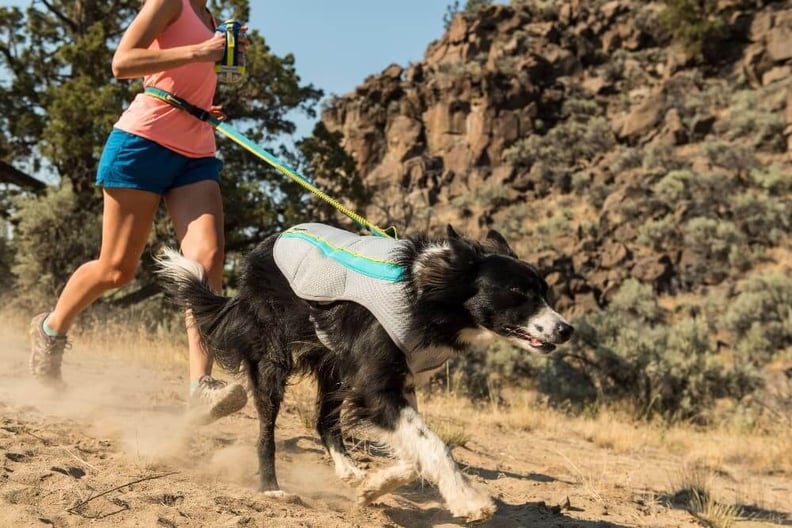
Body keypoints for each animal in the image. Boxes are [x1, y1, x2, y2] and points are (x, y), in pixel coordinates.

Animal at [155, 222, 572, 520]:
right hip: (275, 358)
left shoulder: (400, 383)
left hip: (333, 365)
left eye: (544, 293)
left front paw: (374, 486)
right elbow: (433, 444)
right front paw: (467, 499)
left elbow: (414, 449)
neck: (425, 294)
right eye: (518, 294)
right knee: (267, 430)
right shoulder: (376, 386)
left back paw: (350, 470)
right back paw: (271, 486)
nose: (567, 329)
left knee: (324, 421)